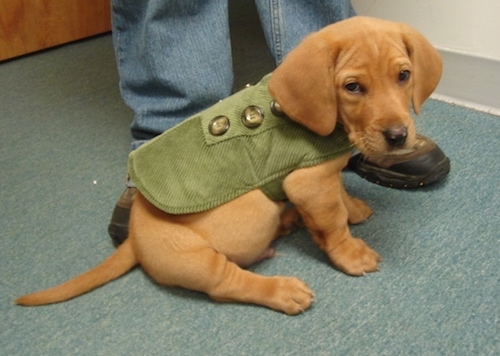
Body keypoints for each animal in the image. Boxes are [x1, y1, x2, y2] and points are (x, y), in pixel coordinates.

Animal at [15, 16, 442, 314]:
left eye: (404, 76)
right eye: (352, 87)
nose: (398, 136)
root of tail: (134, 237)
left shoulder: (318, 172)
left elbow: (338, 191)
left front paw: (352, 208)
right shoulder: (306, 182)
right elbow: (332, 223)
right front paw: (351, 253)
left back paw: (289, 221)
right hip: (197, 255)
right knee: (227, 283)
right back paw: (283, 290)